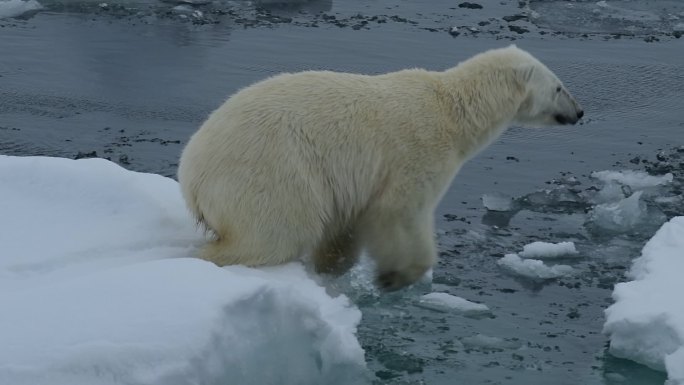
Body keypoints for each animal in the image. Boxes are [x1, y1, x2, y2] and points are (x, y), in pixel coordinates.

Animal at [176, 44, 584, 292]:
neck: (453, 110)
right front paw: (396, 276)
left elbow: (346, 227)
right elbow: (399, 213)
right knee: (277, 231)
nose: (580, 112)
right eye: (559, 87)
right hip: (272, 171)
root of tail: (191, 177)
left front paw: (332, 268)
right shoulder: (416, 152)